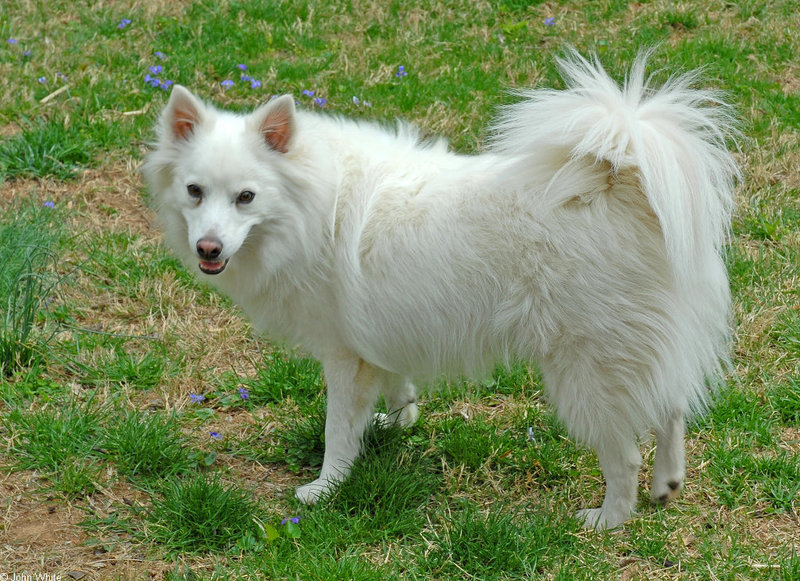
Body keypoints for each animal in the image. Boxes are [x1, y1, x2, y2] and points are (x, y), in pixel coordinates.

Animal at [142, 52, 736, 528]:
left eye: (245, 197)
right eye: (194, 192)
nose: (208, 248)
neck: (308, 204)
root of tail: (617, 180)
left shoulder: (342, 354)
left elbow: (337, 432)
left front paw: (326, 489)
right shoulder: (377, 334)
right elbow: (394, 384)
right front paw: (397, 421)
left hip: (586, 371)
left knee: (625, 452)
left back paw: (608, 519)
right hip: (639, 348)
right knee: (672, 406)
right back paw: (667, 485)